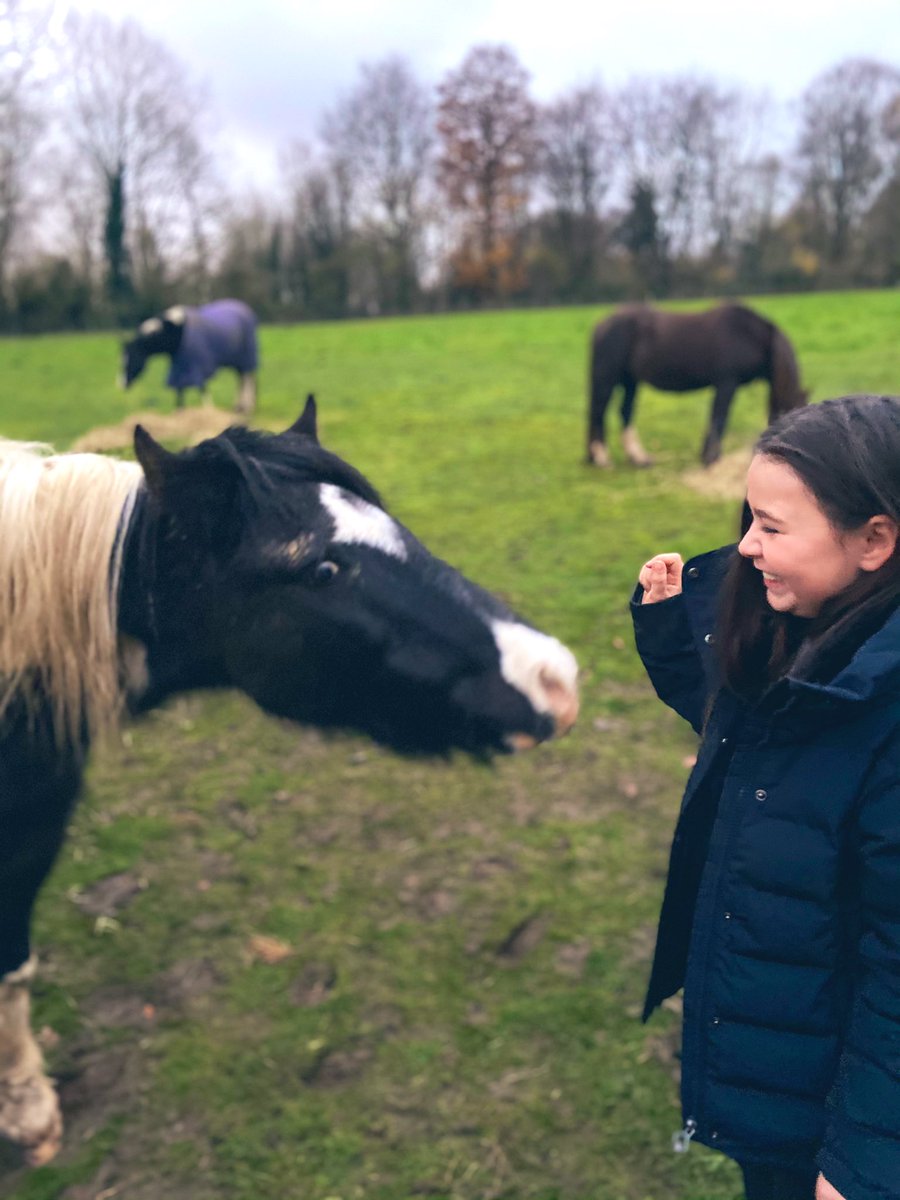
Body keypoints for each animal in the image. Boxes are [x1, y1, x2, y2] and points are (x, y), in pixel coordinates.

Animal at [121, 299, 259, 414]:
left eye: (131, 359)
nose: (122, 384)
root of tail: (243, 307)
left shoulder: (198, 366)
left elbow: (202, 389)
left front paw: (209, 410)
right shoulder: (179, 366)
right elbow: (179, 391)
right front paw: (180, 412)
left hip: (247, 358)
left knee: (248, 380)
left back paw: (246, 408)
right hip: (238, 362)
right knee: (241, 380)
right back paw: (239, 407)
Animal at [585, 303, 808, 468]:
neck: (748, 335)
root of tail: (602, 324)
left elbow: (715, 418)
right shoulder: (726, 384)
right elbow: (719, 419)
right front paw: (711, 459)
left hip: (630, 381)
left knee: (625, 412)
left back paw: (638, 458)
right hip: (607, 381)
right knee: (598, 412)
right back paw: (602, 459)